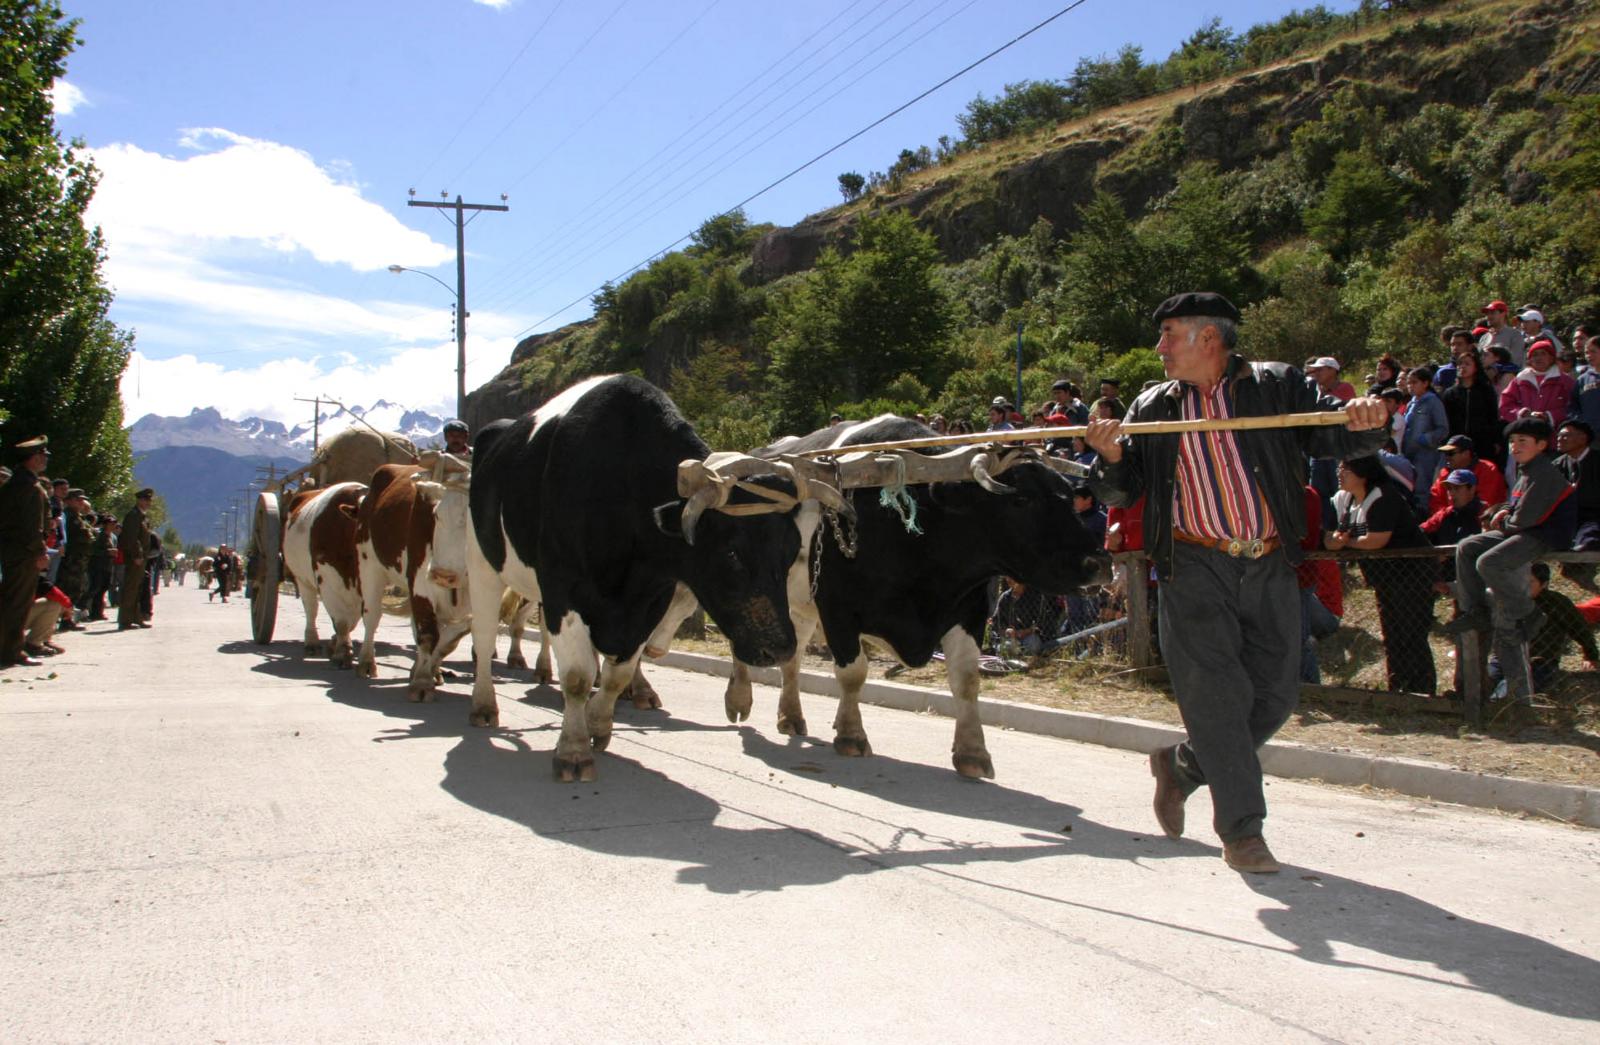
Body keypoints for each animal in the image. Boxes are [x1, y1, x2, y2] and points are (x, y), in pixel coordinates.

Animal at [280, 481, 367, 668]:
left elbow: (353, 620)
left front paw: (335, 645)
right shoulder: (327, 579)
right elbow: (341, 621)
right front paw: (342, 653)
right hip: (302, 579)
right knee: (311, 609)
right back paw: (311, 643)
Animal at [350, 458, 472, 700]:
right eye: (436, 515)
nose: (443, 574)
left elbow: (448, 640)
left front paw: (425, 671)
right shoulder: (420, 582)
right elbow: (429, 634)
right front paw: (422, 682)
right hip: (369, 565)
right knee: (371, 616)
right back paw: (366, 663)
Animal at [463, 374, 848, 781]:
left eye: (791, 553)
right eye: (731, 553)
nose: (780, 648)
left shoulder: (650, 598)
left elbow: (617, 673)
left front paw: (598, 725)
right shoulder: (562, 589)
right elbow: (578, 676)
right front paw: (573, 750)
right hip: (481, 562)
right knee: (484, 636)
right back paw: (483, 705)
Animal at [715, 416, 1109, 779]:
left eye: (1070, 498)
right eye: (1023, 500)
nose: (1098, 563)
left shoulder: (970, 609)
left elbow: (967, 681)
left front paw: (973, 752)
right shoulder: (838, 608)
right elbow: (853, 674)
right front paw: (851, 734)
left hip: (798, 606)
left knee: (792, 658)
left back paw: (791, 716)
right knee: (744, 641)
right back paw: (739, 698)